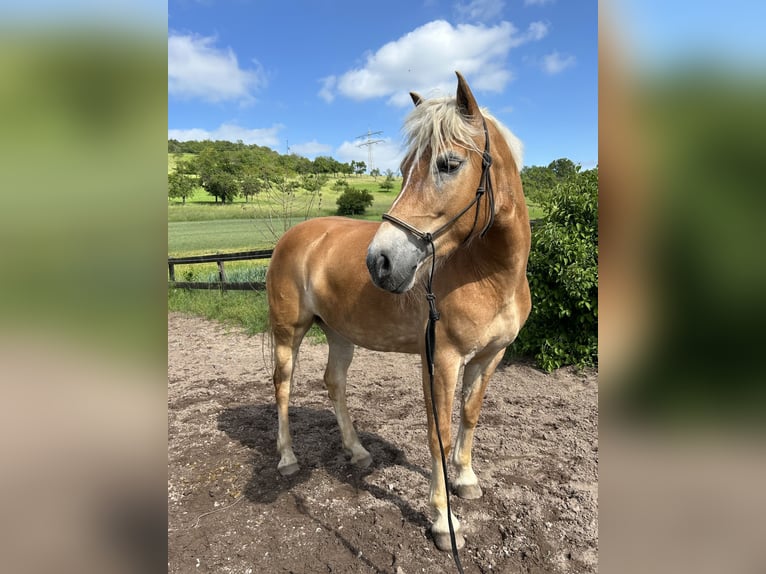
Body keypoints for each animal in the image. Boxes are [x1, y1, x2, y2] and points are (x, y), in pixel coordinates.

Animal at [268, 72, 532, 552]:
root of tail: (295, 236)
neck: (488, 275)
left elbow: (470, 415)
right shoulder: (441, 360)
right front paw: (444, 521)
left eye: (448, 164)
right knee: (283, 386)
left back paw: (356, 451)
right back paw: (288, 458)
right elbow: (438, 433)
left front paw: (466, 479)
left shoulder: (489, 358)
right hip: (287, 332)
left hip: (339, 334)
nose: (380, 262)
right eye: (407, 167)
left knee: (333, 383)